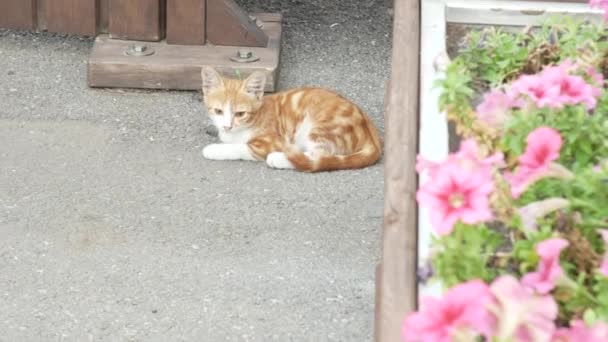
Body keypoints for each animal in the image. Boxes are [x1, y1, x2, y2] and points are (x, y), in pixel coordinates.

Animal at [201, 67, 380, 172]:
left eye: (240, 114)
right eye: (218, 111)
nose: (227, 126)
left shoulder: (270, 142)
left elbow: (239, 147)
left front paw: (214, 149)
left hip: (320, 127)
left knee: (320, 158)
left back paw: (278, 158)